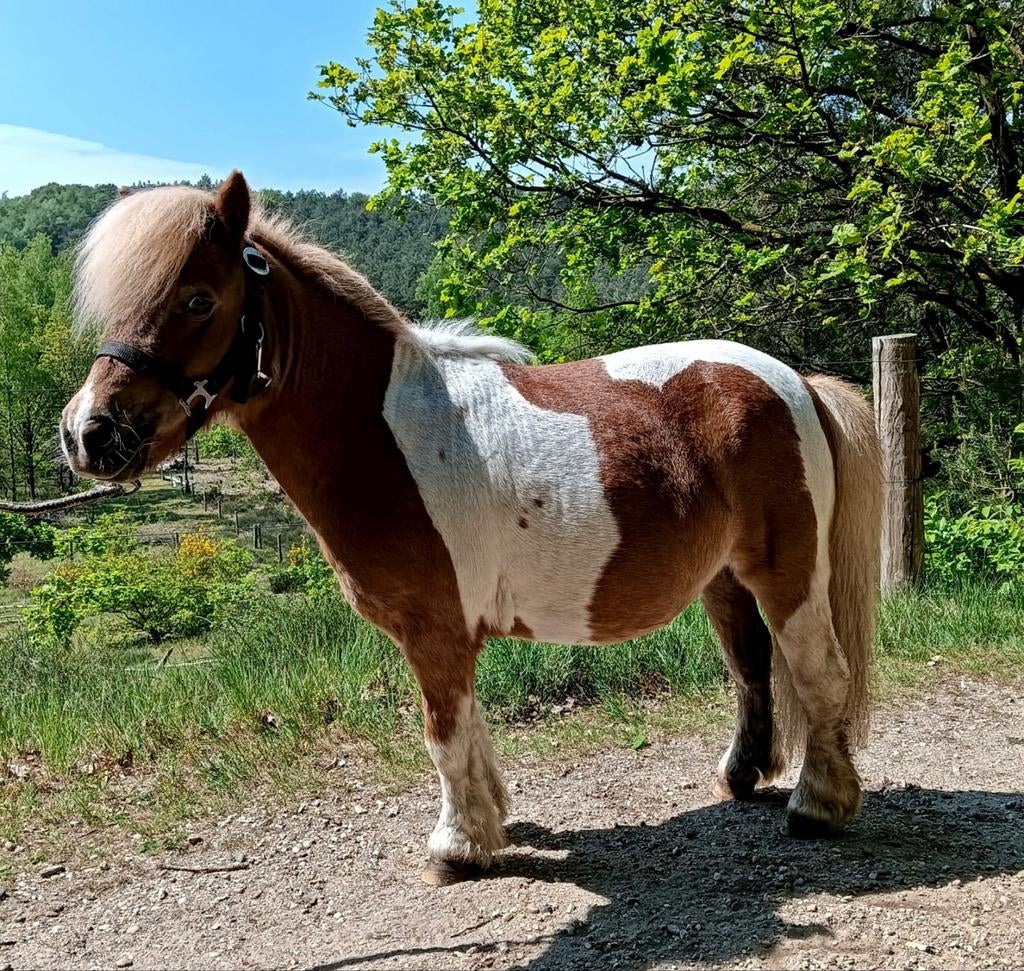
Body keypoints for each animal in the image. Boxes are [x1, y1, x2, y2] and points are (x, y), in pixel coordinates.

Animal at [60, 172, 882, 885]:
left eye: (199, 299)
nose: (89, 433)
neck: (383, 434)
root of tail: (796, 382)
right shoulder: (448, 631)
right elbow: (469, 728)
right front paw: (494, 821)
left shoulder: (433, 629)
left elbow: (442, 730)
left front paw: (458, 846)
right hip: (725, 577)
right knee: (751, 668)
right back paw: (742, 776)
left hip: (788, 573)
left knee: (820, 672)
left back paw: (820, 805)